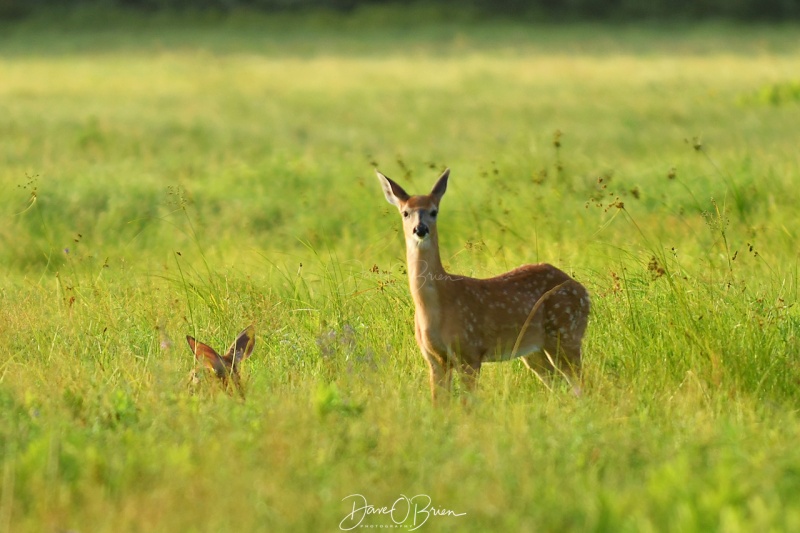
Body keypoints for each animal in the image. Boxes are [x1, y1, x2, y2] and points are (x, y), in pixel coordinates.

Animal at [378, 168, 592, 402]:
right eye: (405, 213)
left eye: (434, 211)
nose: (420, 229)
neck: (436, 306)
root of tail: (584, 291)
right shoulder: (434, 359)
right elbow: (439, 403)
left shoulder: (470, 352)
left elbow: (468, 403)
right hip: (535, 349)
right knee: (560, 383)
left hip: (566, 332)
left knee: (584, 383)